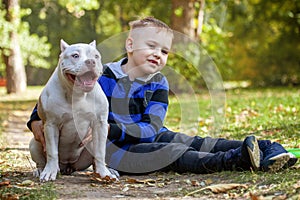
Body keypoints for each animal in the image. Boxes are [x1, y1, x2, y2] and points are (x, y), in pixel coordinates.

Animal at [28, 39, 116, 182]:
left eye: (96, 56)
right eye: (75, 56)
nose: (91, 61)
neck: (76, 94)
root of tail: (68, 166)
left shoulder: (100, 124)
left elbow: (100, 152)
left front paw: (104, 174)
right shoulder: (51, 124)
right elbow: (52, 152)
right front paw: (49, 172)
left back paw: (100, 172)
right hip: (34, 143)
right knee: (41, 161)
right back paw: (41, 170)